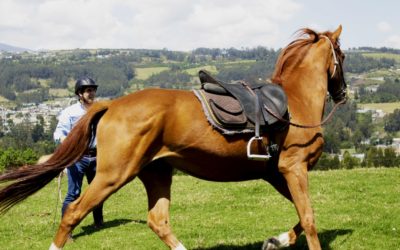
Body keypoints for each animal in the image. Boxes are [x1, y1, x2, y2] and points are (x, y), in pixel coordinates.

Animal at [0, 25, 346, 250]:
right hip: (114, 174)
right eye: (342, 55)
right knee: (73, 212)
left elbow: (303, 215)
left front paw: (276, 240)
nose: (342, 92)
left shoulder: (276, 173)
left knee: (158, 220)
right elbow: (309, 217)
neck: (295, 101)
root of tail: (112, 104)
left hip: (156, 171)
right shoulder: (293, 168)